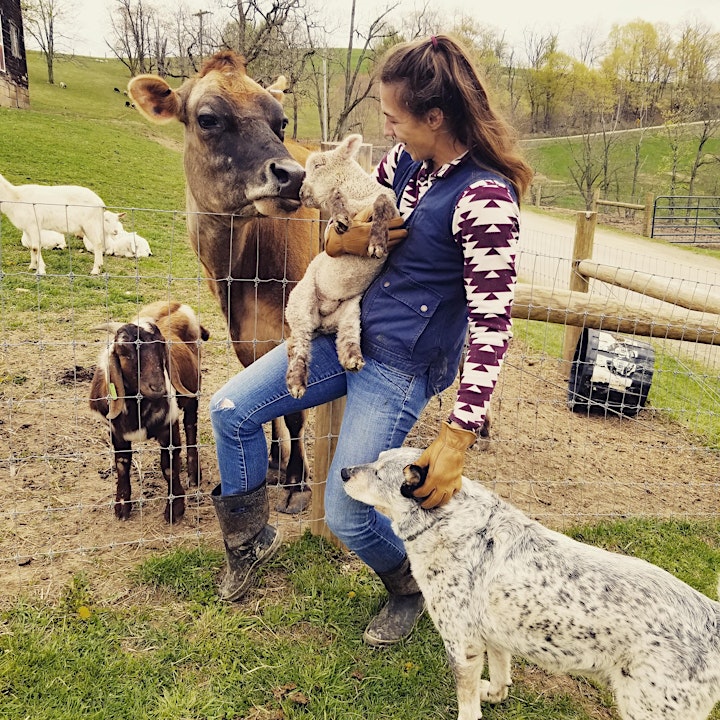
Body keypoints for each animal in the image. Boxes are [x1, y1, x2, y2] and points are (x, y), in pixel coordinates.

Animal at [88, 300, 210, 524]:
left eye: (161, 346)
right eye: (124, 352)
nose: (158, 388)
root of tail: (174, 303)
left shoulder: (169, 428)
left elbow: (169, 467)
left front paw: (174, 509)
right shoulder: (117, 433)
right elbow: (122, 465)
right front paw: (122, 507)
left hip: (192, 393)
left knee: (191, 427)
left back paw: (193, 475)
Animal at [127, 52, 318, 512]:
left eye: (281, 121)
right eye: (208, 118)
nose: (293, 175)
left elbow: (295, 410)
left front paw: (297, 482)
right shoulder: (245, 335)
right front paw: (275, 464)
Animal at [284, 135, 400, 400]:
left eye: (318, 165)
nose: (302, 193)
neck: (358, 196)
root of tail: (321, 321)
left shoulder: (392, 208)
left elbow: (381, 203)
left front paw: (377, 244)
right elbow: (335, 198)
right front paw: (340, 219)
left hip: (350, 310)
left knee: (345, 336)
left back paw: (353, 359)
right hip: (300, 300)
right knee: (300, 343)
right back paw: (296, 382)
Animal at [342, 448, 720, 720]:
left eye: (378, 473)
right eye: (375, 459)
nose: (344, 471)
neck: (448, 522)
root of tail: (712, 620)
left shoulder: (462, 646)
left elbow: (467, 705)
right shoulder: (495, 638)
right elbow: (501, 677)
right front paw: (494, 694)